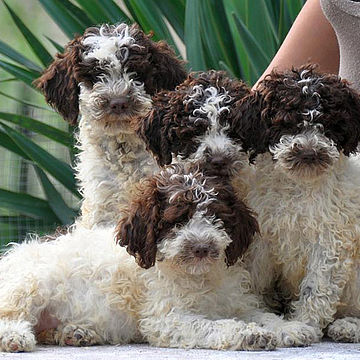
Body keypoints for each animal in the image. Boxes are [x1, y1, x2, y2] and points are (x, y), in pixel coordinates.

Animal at [239, 65, 360, 340]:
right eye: (287, 123)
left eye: (328, 125)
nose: (309, 153)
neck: (299, 186)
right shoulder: (262, 240)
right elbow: (253, 277)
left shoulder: (330, 240)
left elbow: (317, 287)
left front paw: (304, 324)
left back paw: (348, 326)